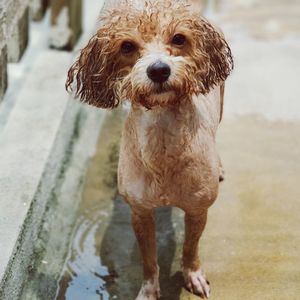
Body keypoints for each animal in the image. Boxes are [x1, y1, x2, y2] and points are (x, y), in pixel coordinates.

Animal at [67, 1, 233, 298]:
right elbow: (148, 260)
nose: (158, 70)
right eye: (127, 46)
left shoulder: (197, 210)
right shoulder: (140, 213)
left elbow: (190, 249)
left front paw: (193, 275)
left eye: (178, 38)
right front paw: (149, 289)